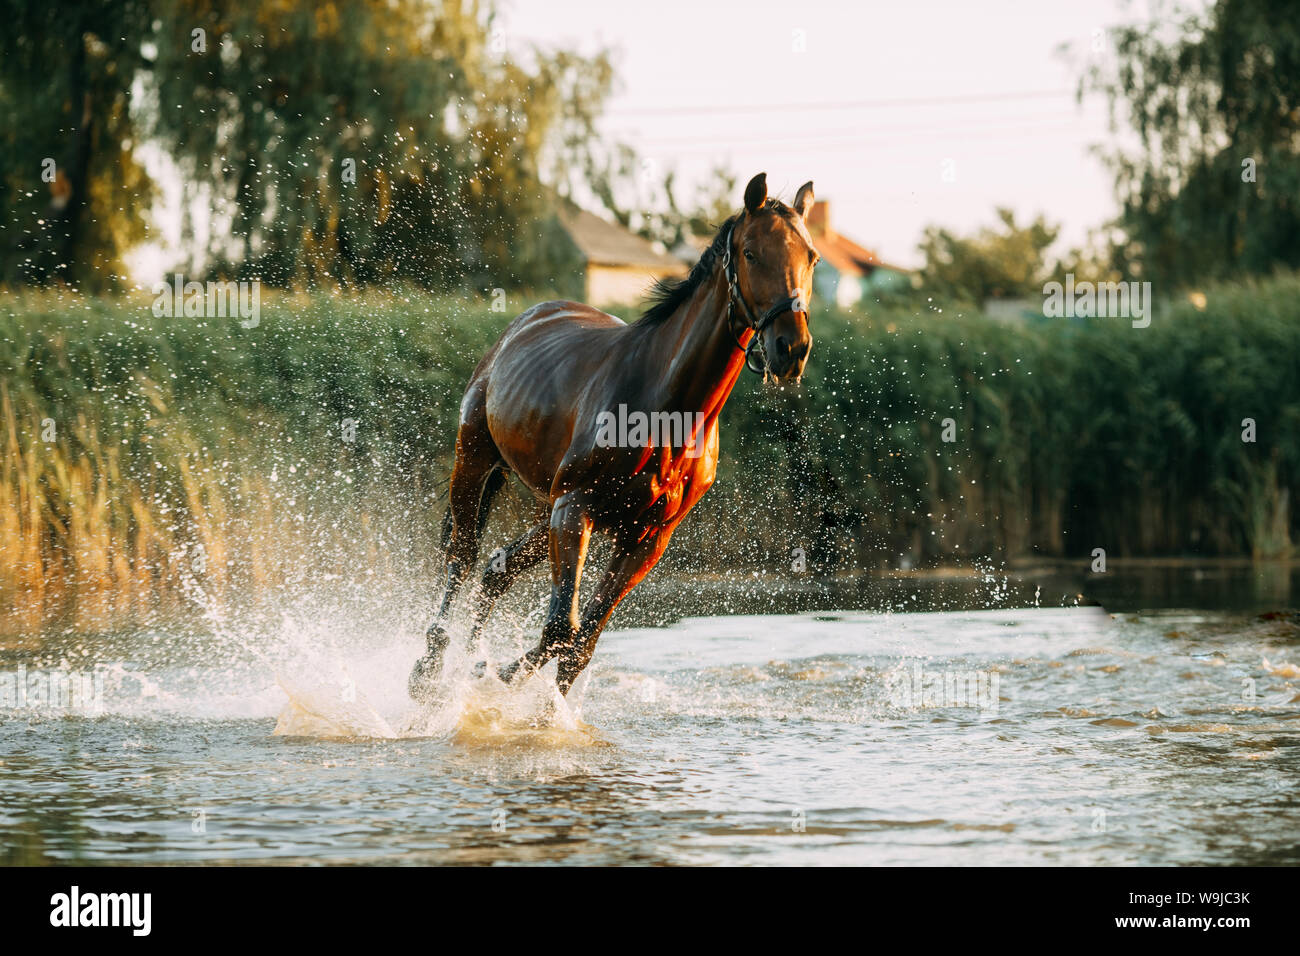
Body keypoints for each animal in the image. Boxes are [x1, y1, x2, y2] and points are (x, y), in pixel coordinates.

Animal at [405, 171, 816, 697]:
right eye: (750, 253)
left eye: (811, 257)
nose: (792, 349)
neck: (664, 409)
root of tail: (525, 320)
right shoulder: (575, 508)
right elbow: (561, 630)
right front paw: (497, 684)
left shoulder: (646, 538)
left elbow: (580, 644)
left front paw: (516, 692)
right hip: (479, 460)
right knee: (463, 554)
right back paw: (429, 669)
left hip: (550, 506)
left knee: (499, 566)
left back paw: (472, 661)